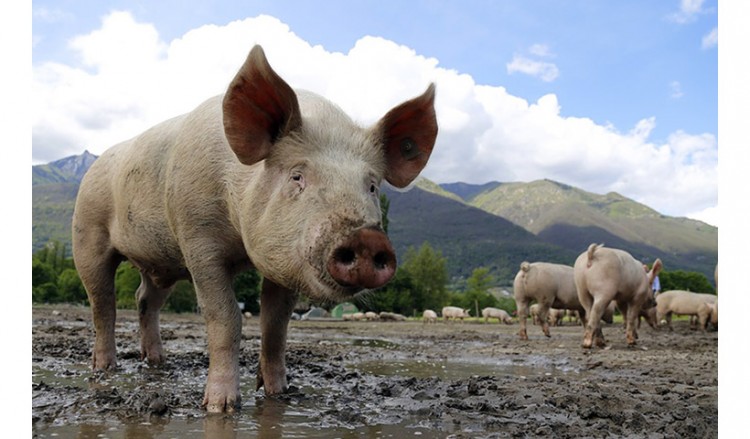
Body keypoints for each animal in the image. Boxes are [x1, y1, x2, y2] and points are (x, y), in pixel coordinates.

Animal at [73, 44, 438, 412]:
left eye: (372, 186)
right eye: (297, 176)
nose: (367, 237)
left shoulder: (286, 261)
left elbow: (275, 326)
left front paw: (280, 394)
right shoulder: (198, 239)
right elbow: (225, 318)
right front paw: (220, 406)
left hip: (161, 263)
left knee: (145, 299)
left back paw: (158, 362)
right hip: (87, 233)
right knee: (103, 303)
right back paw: (105, 368)